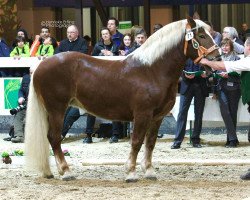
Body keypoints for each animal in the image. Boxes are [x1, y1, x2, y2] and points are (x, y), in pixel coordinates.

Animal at [24, 17, 220, 181]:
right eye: (202, 35)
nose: (217, 58)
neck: (152, 70)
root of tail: (41, 65)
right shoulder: (142, 114)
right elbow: (136, 142)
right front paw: (131, 173)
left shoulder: (157, 117)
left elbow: (150, 143)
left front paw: (149, 171)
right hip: (57, 109)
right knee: (54, 138)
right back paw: (66, 172)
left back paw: (50, 172)